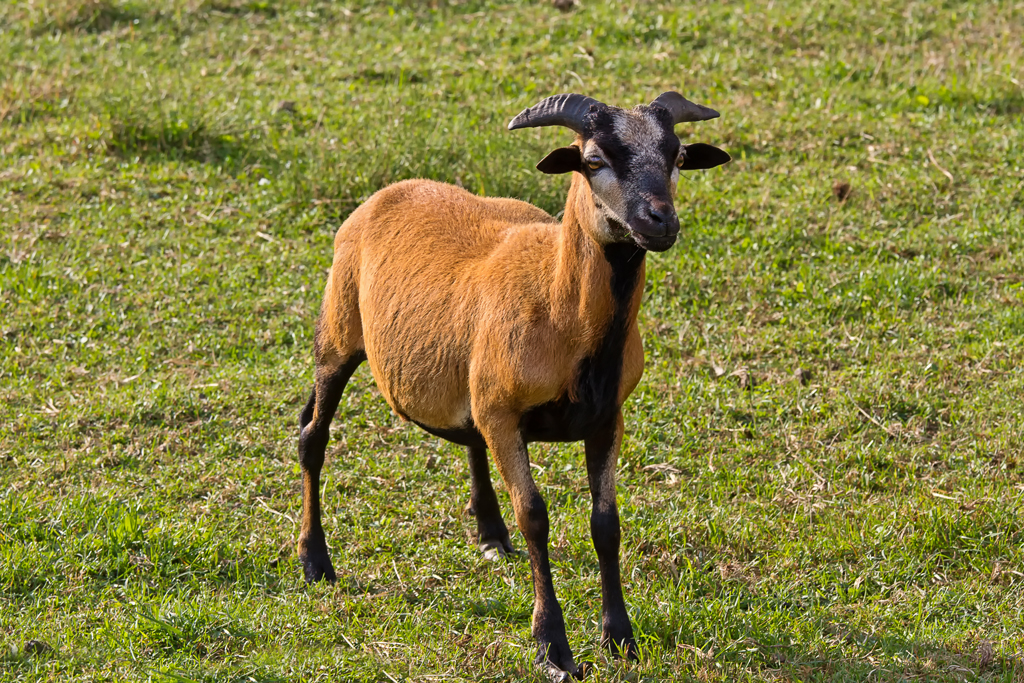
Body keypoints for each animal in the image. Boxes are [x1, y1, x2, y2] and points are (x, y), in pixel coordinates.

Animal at [296, 92, 729, 679]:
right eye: (593, 160)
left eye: (679, 157)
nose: (659, 220)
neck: (561, 308)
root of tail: (394, 188)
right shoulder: (506, 416)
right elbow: (536, 518)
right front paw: (554, 647)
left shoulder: (606, 416)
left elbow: (606, 523)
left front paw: (620, 637)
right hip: (338, 335)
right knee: (312, 438)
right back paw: (315, 560)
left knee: (467, 437)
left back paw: (490, 535)